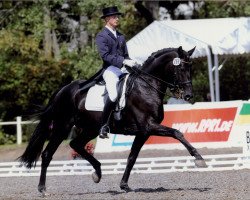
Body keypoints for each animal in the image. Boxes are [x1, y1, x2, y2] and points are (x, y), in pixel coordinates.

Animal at [19, 46, 207, 194]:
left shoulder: (143, 132)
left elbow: (132, 157)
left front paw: (124, 185)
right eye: (180, 68)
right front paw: (199, 158)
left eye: (191, 68)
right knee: (47, 154)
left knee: (76, 145)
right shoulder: (149, 126)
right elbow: (177, 132)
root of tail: (63, 90)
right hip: (62, 127)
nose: (188, 95)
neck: (146, 86)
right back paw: (42, 189)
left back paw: (97, 172)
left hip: (89, 129)